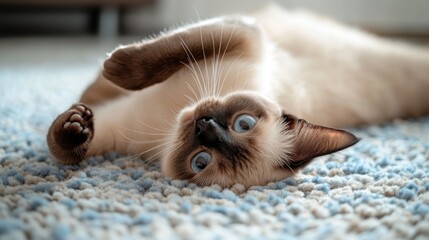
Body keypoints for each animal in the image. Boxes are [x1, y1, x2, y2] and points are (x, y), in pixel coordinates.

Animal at [46, 4, 428, 187]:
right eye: (244, 123)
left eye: (201, 162)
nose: (204, 126)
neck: (171, 116)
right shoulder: (245, 38)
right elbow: (164, 50)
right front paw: (115, 65)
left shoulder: (115, 134)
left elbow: (64, 149)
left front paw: (76, 125)